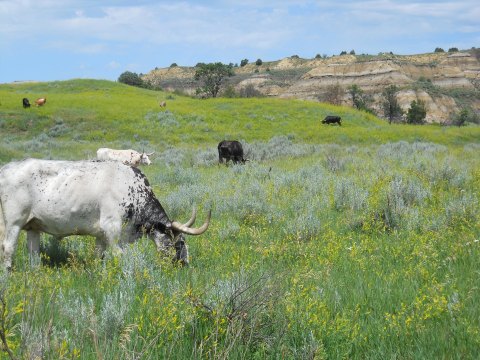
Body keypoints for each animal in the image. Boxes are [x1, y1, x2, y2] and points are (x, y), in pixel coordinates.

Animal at [0, 159, 210, 268]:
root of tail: (7, 168)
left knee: (33, 252)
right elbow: (119, 255)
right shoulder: (111, 228)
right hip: (13, 222)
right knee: (8, 247)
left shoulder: (100, 235)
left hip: (33, 226)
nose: (184, 264)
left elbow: (98, 255)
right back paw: (8, 272)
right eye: (180, 243)